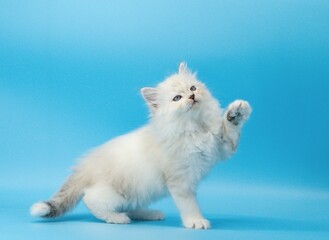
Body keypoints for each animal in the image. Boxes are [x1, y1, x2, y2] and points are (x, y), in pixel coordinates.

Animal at [30, 62, 251, 229]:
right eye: (177, 98)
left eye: (192, 88)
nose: (192, 97)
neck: (195, 128)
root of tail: (85, 165)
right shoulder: (180, 180)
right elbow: (189, 204)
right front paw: (195, 221)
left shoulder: (221, 149)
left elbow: (230, 131)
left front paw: (236, 113)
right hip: (115, 193)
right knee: (91, 199)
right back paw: (117, 218)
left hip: (141, 191)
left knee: (131, 206)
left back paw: (150, 214)